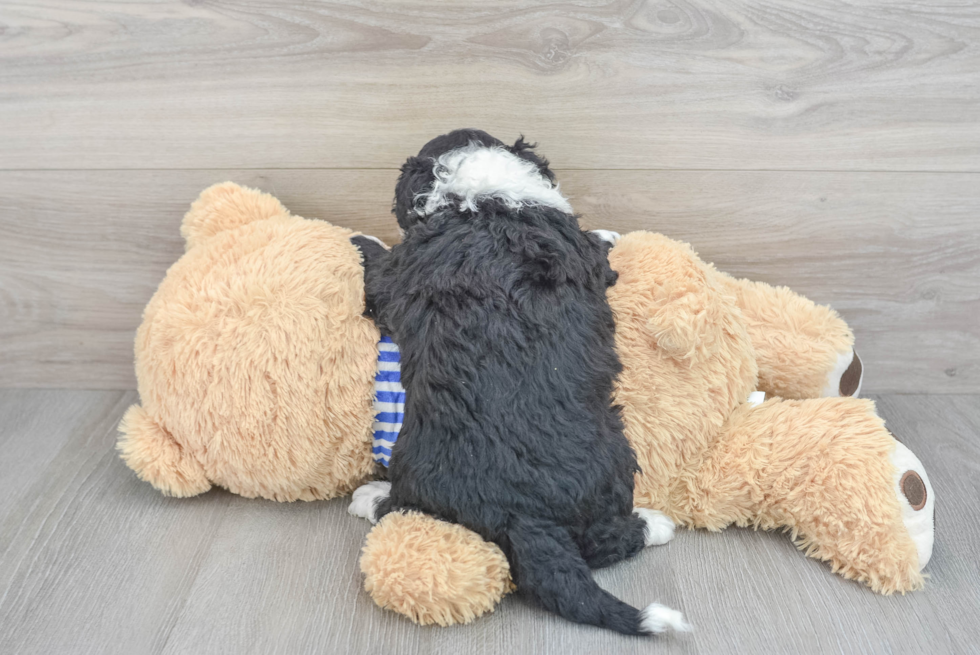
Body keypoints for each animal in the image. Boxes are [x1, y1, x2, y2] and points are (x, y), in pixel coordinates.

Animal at [348, 128, 684, 636]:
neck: (487, 202)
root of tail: (523, 511)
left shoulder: (395, 277)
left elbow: (379, 268)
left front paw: (361, 237)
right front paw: (608, 234)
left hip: (421, 467)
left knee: (405, 506)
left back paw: (369, 496)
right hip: (615, 459)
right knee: (603, 542)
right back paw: (654, 523)